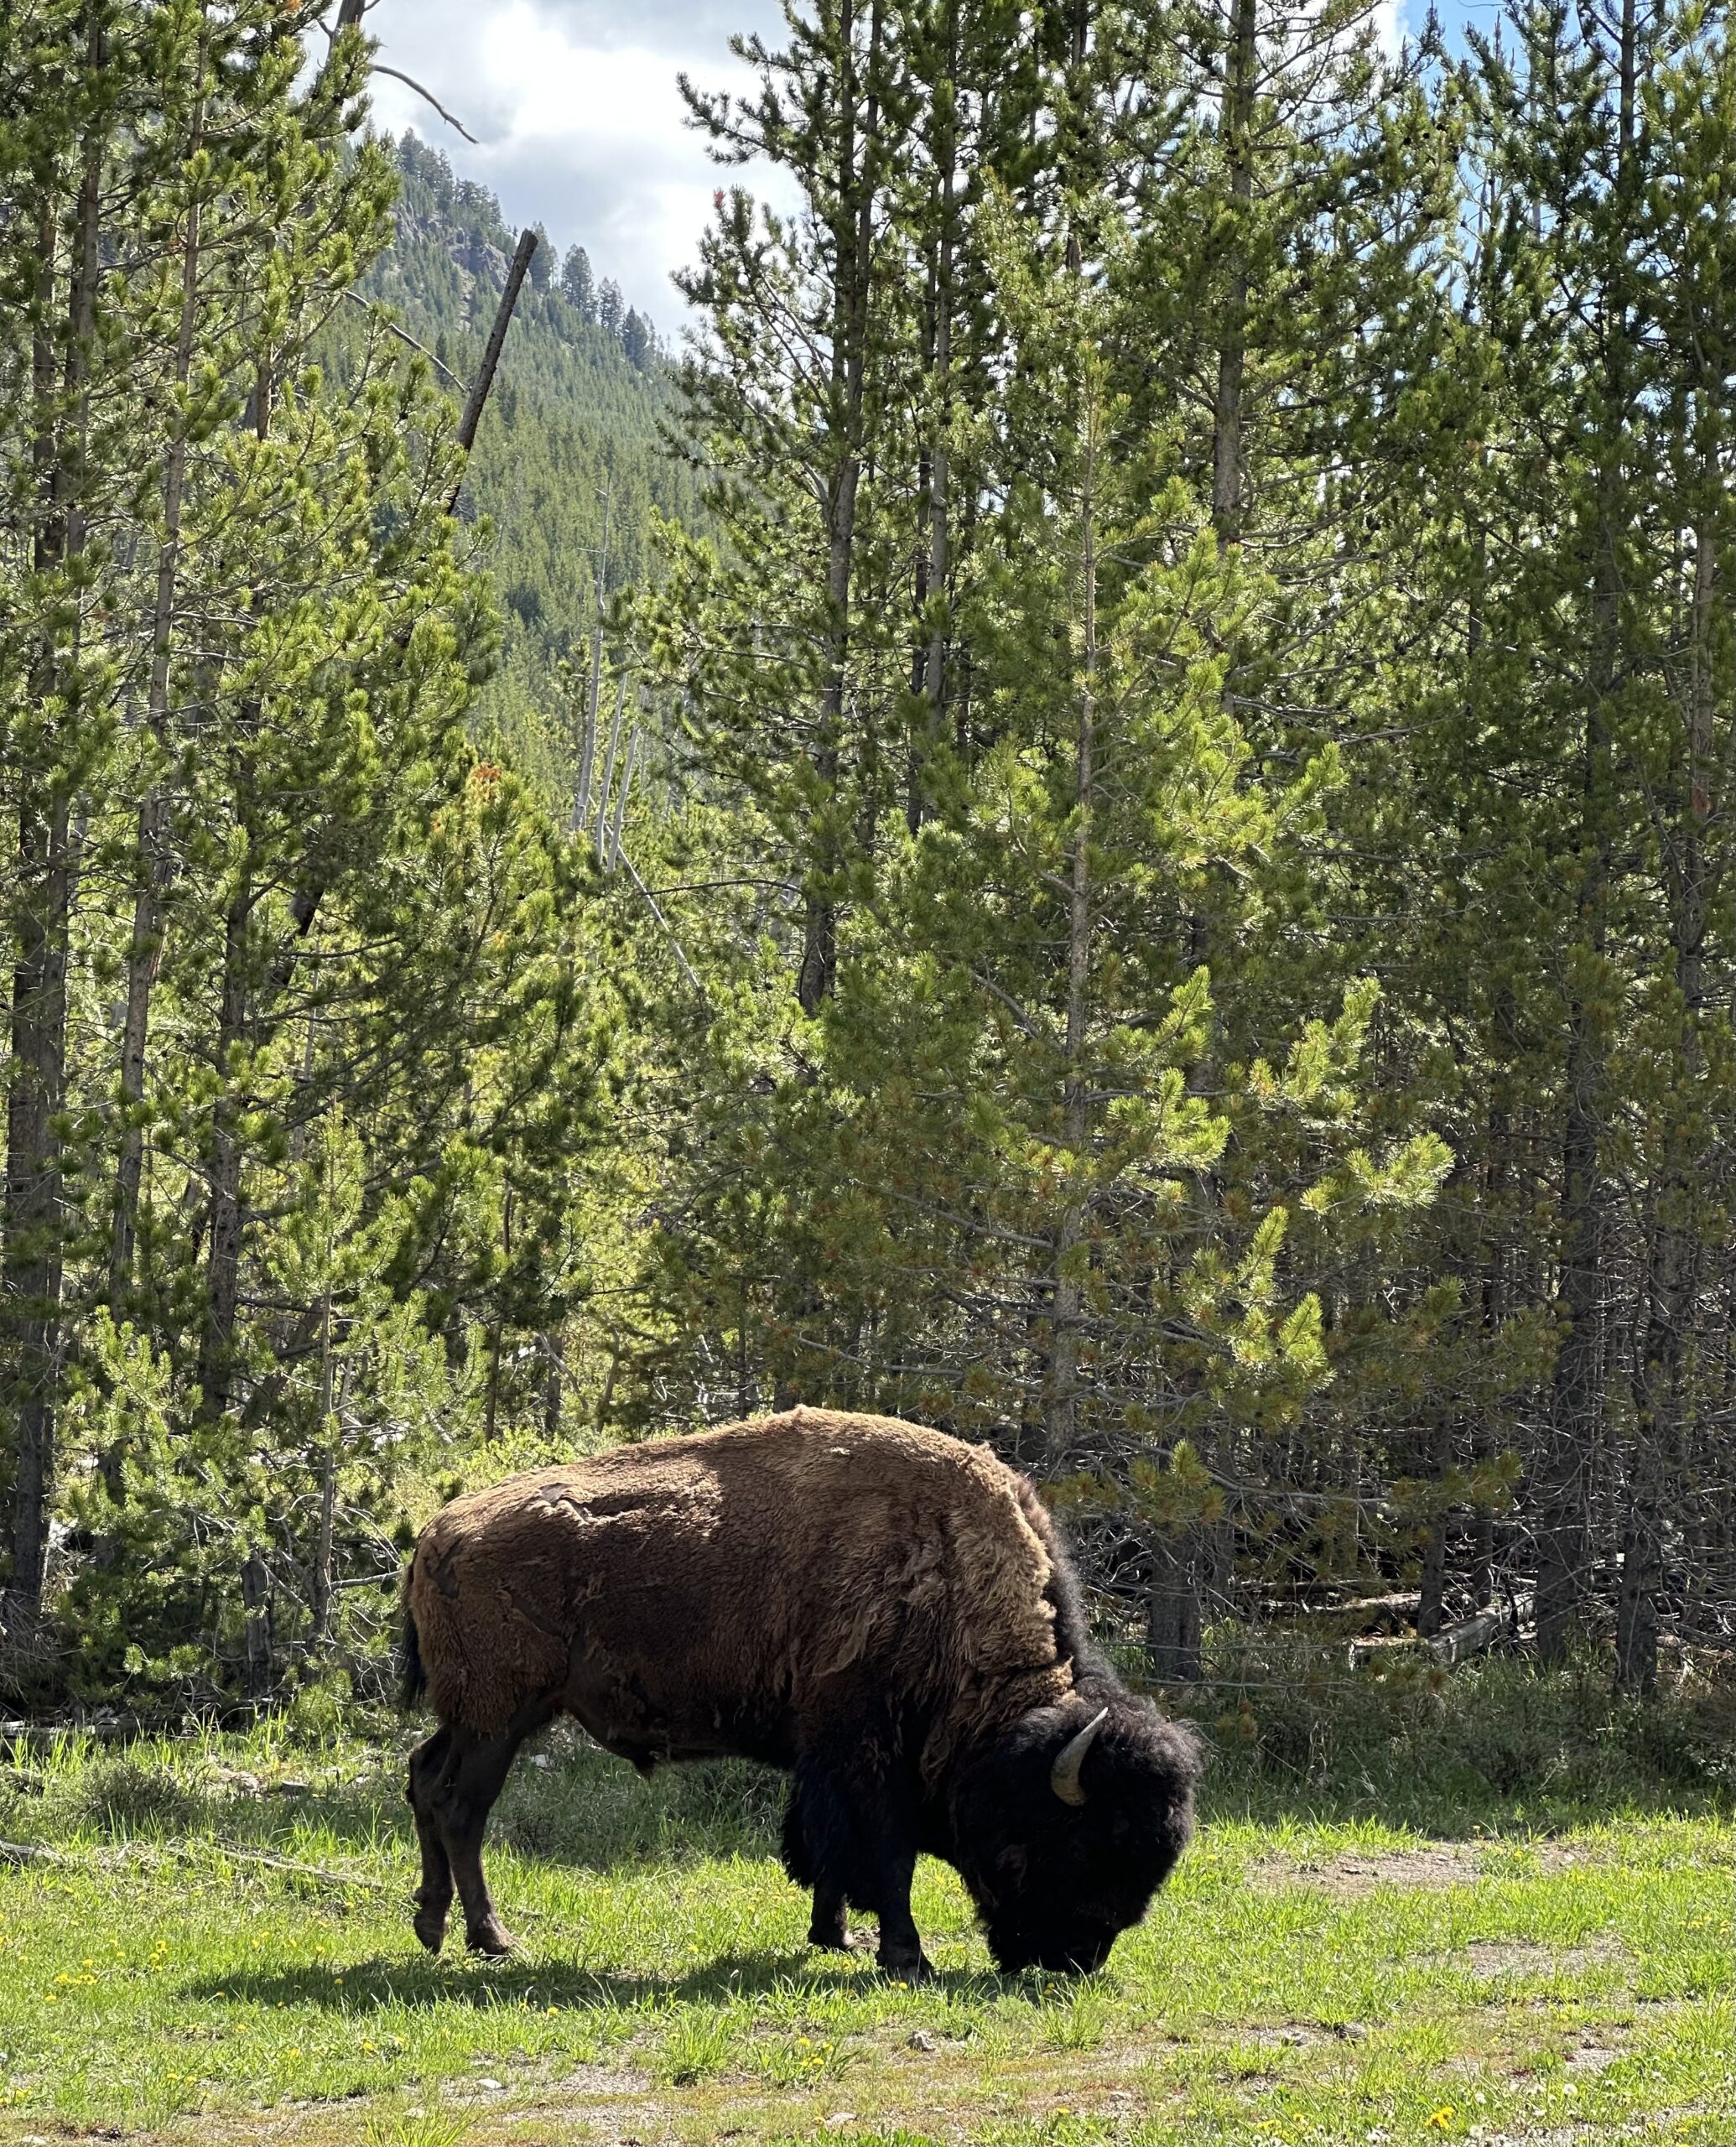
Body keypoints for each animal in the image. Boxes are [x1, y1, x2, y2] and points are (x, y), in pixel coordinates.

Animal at [400, 1406, 1199, 1977]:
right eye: (1082, 1840)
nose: (1075, 1960)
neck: (948, 1578)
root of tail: (435, 1534)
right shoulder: (865, 1753)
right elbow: (883, 1854)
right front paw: (906, 1958)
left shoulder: (824, 1757)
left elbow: (824, 1850)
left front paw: (834, 1937)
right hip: (498, 1718)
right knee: (462, 1808)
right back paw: (492, 1940)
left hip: (481, 1718)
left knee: (423, 1780)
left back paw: (432, 1927)